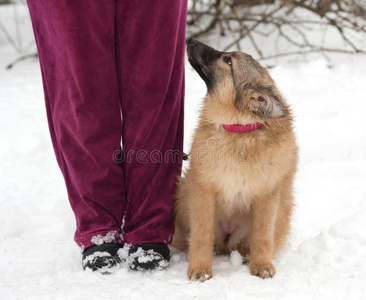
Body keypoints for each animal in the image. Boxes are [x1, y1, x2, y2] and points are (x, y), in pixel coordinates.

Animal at [172, 39, 298, 282]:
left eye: (228, 60)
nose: (190, 40)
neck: (239, 130)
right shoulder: (202, 191)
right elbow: (201, 236)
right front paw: (200, 269)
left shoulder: (267, 196)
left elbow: (262, 236)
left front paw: (261, 265)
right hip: (183, 194)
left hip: (281, 211)